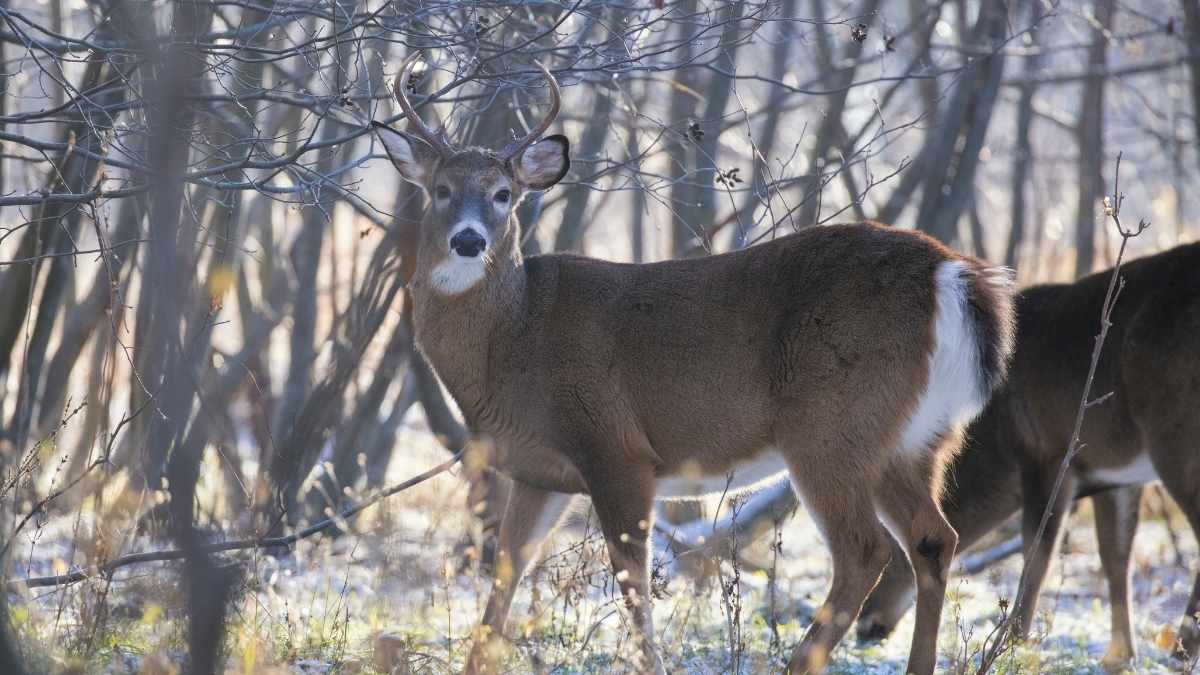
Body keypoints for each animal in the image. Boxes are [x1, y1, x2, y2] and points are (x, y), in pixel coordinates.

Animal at [370, 53, 1016, 674]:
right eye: (441, 189)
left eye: (504, 194)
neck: (513, 340)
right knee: (934, 538)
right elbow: (503, 581)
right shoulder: (540, 472)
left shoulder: (616, 447)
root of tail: (953, 275)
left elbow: (632, 583)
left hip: (832, 425)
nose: (469, 241)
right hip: (916, 438)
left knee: (865, 550)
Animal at [856, 241, 1200, 670]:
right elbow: (1115, 554)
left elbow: (1037, 552)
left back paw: (1182, 648)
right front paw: (1120, 656)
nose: (866, 624)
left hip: (1174, 433)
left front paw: (1014, 642)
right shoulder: (1115, 475)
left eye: (895, 549)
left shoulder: (1044, 453)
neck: (997, 449)